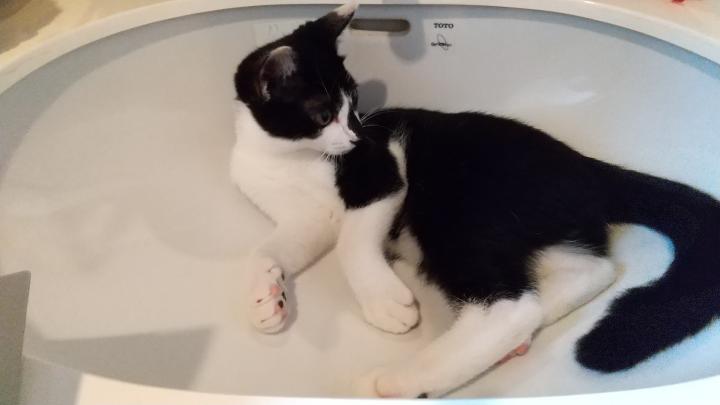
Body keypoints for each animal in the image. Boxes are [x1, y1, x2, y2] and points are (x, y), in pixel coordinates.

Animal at [231, 2, 720, 398]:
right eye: (322, 114)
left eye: (354, 104)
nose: (354, 135)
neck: (291, 157)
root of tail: (586, 165)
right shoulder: (305, 220)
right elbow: (268, 248)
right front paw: (265, 297)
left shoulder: (385, 169)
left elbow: (352, 241)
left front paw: (385, 302)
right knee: (589, 271)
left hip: (457, 210)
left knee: (508, 306)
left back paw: (395, 382)